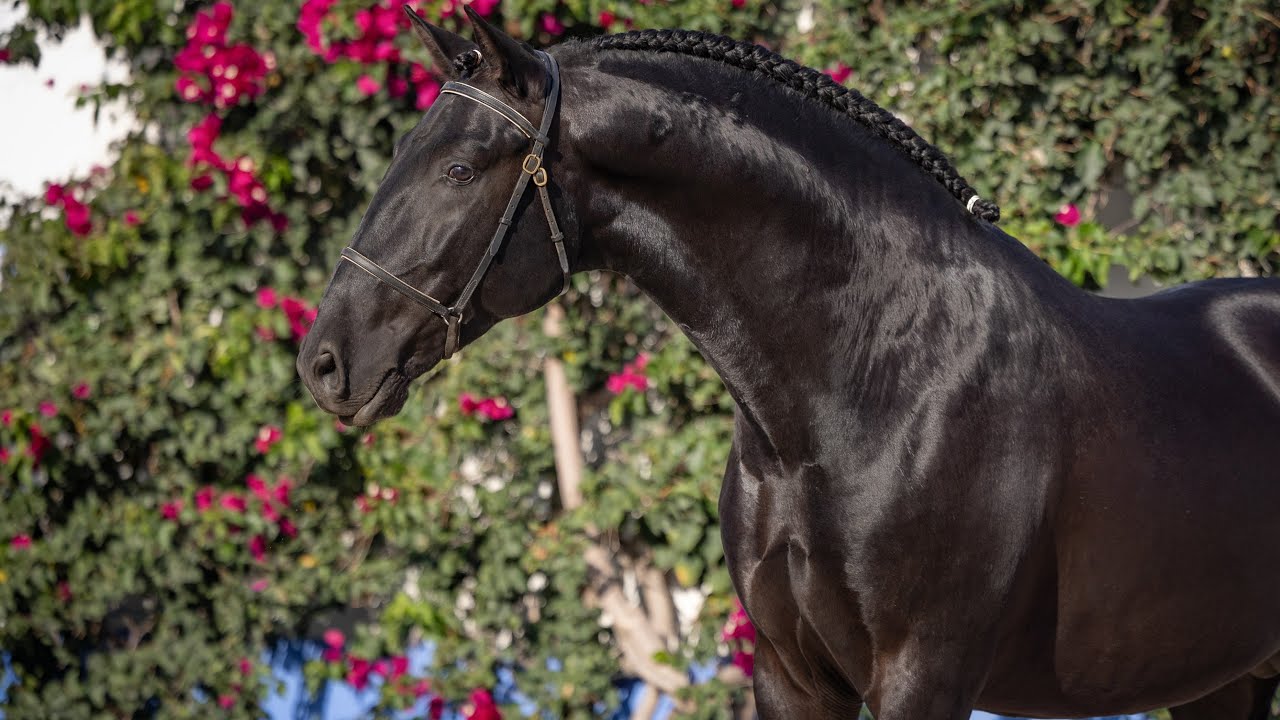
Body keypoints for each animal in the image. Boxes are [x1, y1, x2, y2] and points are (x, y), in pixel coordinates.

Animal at [297, 9, 1280, 719]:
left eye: (461, 169)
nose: (326, 362)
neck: (873, 385)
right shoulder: (791, 675)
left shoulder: (922, 675)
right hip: (1219, 682)